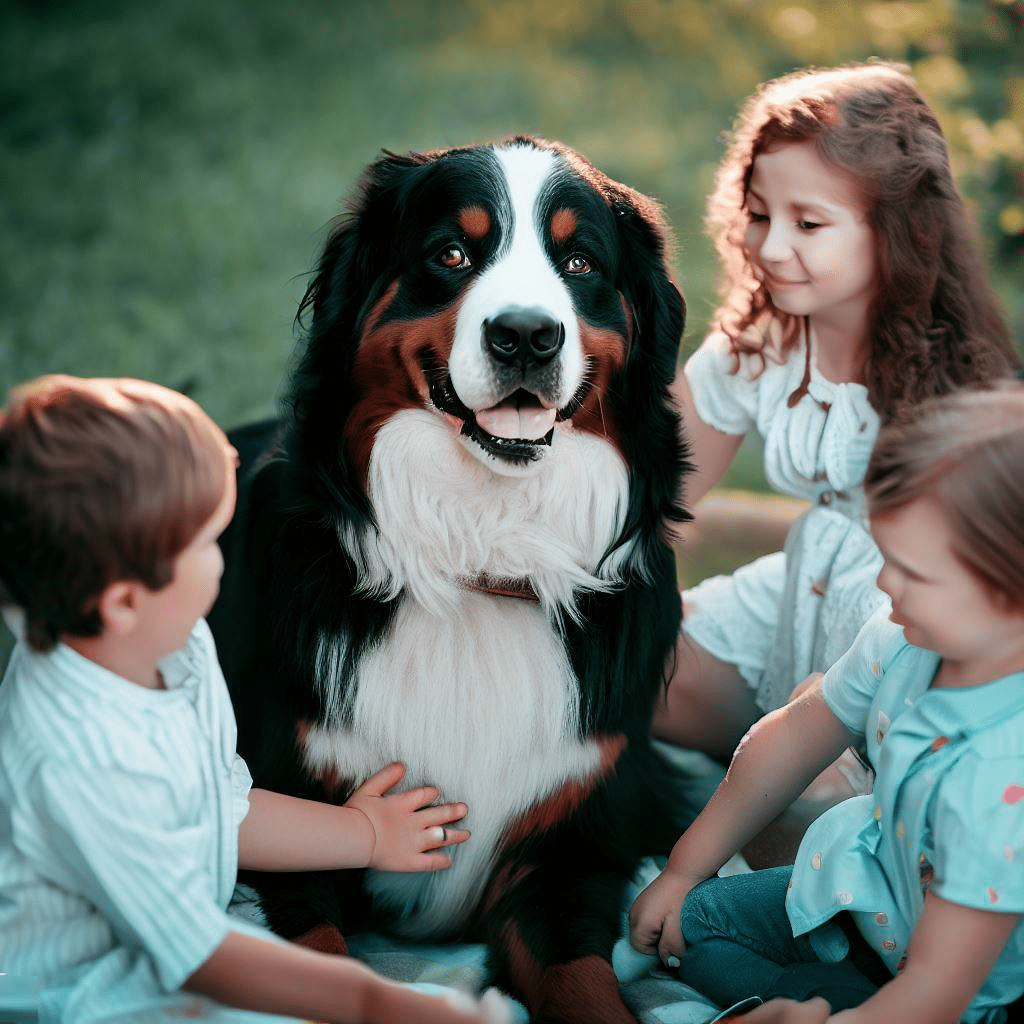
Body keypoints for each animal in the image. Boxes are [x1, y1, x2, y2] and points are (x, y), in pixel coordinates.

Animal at [214, 136, 696, 1024]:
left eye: (580, 261)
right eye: (451, 254)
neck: (479, 557)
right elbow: (328, 963)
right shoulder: (293, 825)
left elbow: (589, 987)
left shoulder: (569, 856)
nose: (527, 336)